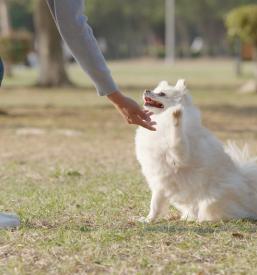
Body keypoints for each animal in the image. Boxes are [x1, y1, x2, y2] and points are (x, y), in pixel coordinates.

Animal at [134, 81, 256, 223]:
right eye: (155, 89)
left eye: (162, 94)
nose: (147, 90)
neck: (161, 120)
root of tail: (246, 183)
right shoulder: (159, 183)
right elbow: (154, 205)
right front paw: (148, 220)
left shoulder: (181, 155)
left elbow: (177, 138)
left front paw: (176, 116)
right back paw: (188, 218)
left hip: (210, 202)